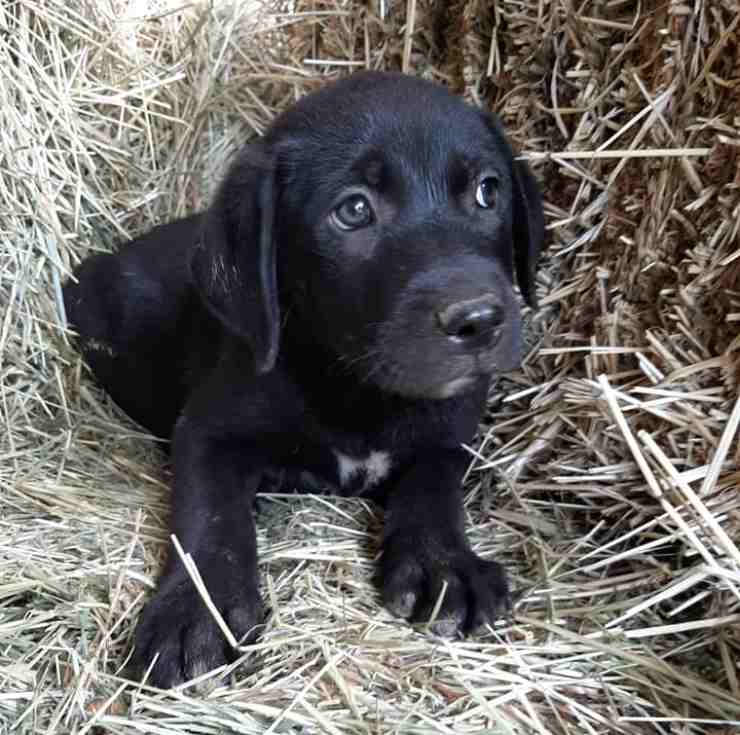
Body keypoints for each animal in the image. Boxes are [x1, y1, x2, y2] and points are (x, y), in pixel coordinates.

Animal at [63, 72, 544, 688]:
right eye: (354, 210)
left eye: (488, 191)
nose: (479, 319)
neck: (359, 389)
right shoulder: (208, 430)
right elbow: (210, 515)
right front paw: (196, 612)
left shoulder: (449, 432)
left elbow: (434, 488)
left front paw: (444, 565)